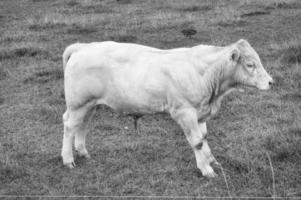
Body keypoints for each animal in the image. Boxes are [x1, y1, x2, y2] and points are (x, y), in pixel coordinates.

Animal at [61, 39, 272, 177]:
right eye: (250, 64)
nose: (271, 82)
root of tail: (84, 47)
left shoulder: (200, 113)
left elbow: (203, 138)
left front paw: (212, 161)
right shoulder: (185, 112)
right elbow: (197, 141)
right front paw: (206, 169)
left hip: (90, 104)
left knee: (82, 124)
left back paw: (83, 151)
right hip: (78, 103)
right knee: (70, 126)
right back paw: (68, 159)